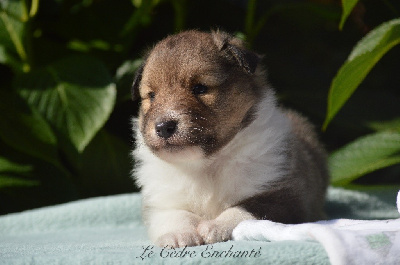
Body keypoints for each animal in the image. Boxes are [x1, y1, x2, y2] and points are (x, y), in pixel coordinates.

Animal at [131, 30, 328, 248]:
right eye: (152, 95)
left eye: (200, 88)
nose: (163, 127)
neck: (206, 165)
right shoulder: (160, 201)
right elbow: (173, 215)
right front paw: (179, 234)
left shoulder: (286, 195)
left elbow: (244, 209)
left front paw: (215, 227)